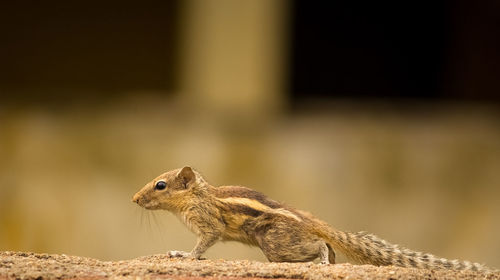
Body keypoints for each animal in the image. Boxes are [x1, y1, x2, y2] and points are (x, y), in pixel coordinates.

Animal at [133, 165, 496, 272]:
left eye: (160, 185)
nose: (134, 199)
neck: (198, 195)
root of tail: (312, 221)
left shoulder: (208, 224)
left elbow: (201, 244)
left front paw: (183, 254)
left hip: (276, 244)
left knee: (319, 244)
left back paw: (322, 261)